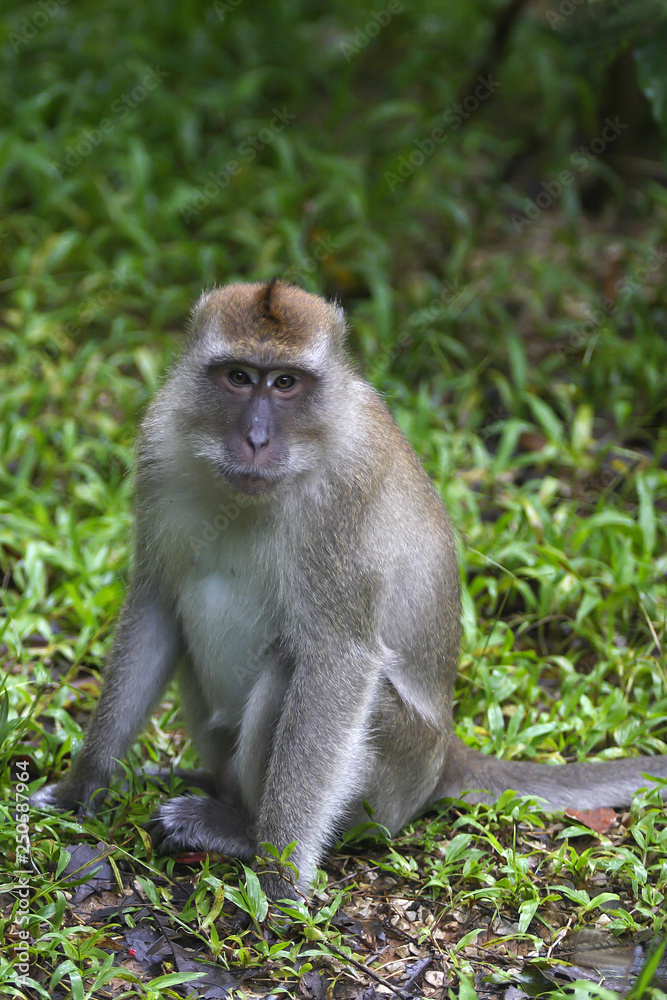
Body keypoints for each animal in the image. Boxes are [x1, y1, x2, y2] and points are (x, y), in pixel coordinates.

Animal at [31, 279, 667, 901]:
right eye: (239, 376)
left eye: (285, 382)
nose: (256, 438)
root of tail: (445, 754)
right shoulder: (160, 444)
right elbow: (157, 607)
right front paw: (79, 788)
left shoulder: (345, 495)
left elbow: (338, 657)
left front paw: (279, 876)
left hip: (395, 774)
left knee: (293, 666)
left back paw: (239, 830)